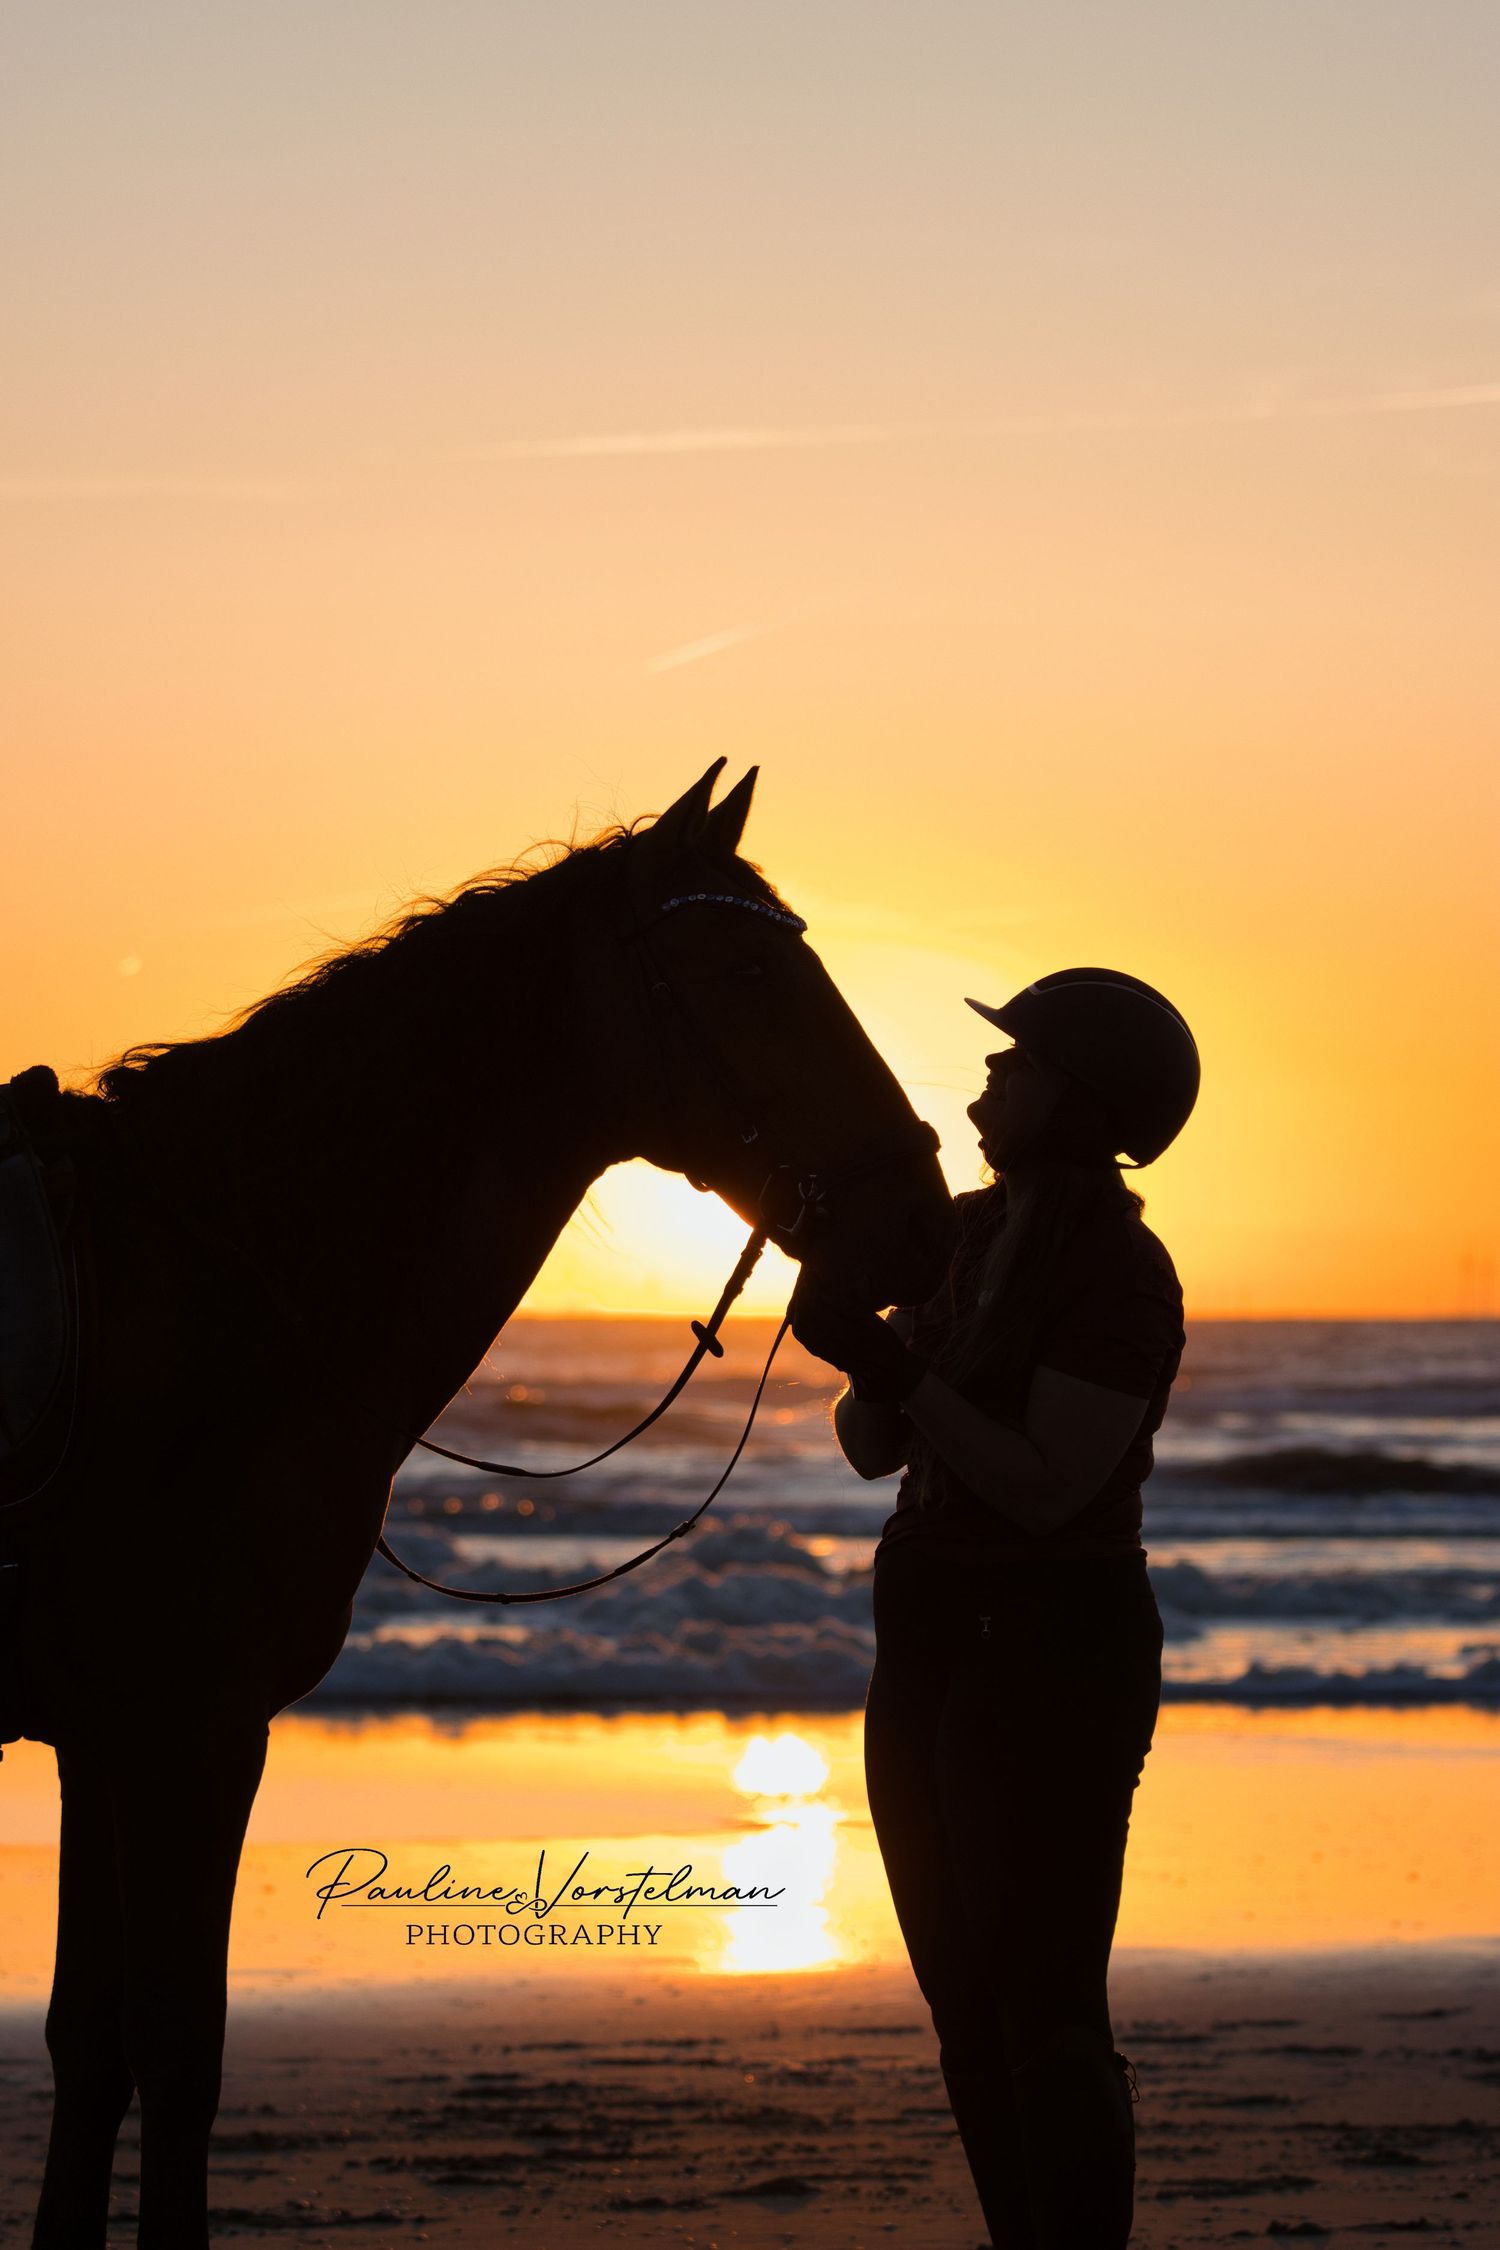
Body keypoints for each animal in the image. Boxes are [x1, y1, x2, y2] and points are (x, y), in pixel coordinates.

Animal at [0, 759, 954, 2248]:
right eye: (749, 970)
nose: (925, 1221)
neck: (217, 1294)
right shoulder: (188, 1729)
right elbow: (175, 2049)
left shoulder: (107, 1733)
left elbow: (91, 2049)